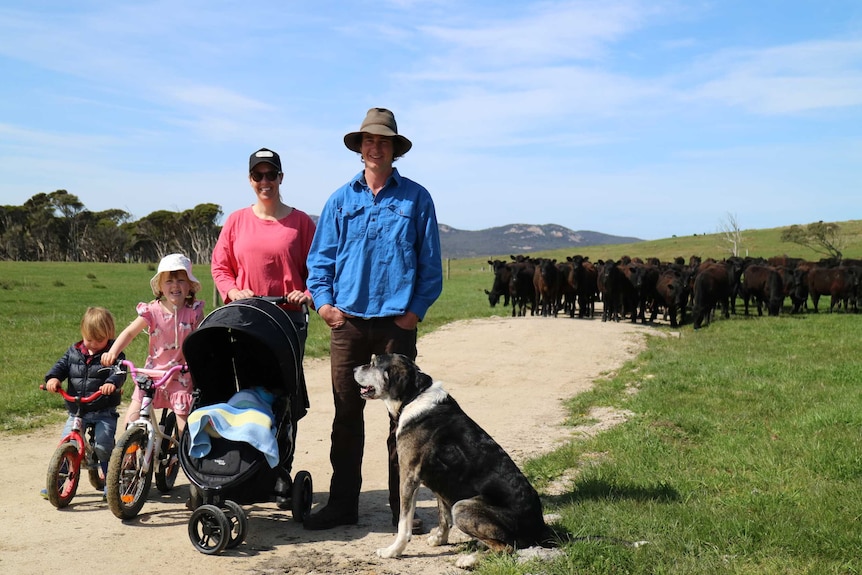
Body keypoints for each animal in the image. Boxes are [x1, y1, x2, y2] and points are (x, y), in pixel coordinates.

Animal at [354, 354, 556, 560]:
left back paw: (468, 559)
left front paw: (392, 551)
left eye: (373, 363)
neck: (413, 396)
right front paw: (439, 540)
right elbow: (443, 515)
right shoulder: (440, 482)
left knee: (506, 548)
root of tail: (540, 527)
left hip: (462, 507)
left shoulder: (409, 475)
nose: (353, 369)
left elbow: (404, 523)